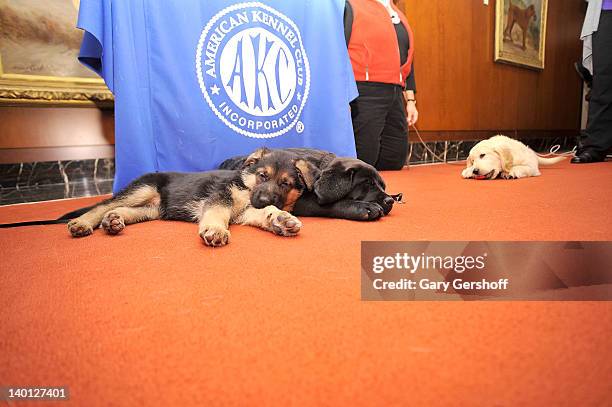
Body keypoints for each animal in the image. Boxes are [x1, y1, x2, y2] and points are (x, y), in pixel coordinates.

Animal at [65, 149, 318, 247]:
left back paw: (113, 220)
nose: (265, 198)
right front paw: (215, 230)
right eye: (262, 175)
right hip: (143, 189)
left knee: (128, 211)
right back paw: (83, 223)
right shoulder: (220, 196)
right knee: (103, 204)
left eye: (285, 183)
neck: (247, 188)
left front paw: (280, 219)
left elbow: (263, 213)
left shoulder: (245, 212)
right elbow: (218, 212)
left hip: (153, 208)